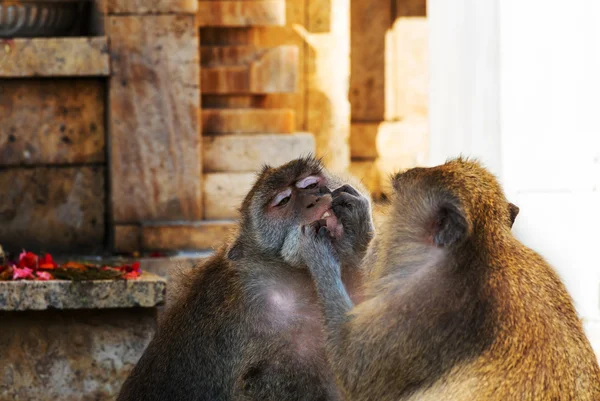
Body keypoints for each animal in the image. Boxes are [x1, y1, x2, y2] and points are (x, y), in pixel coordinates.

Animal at [116, 156, 376, 400]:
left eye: (311, 184)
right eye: (283, 201)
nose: (313, 200)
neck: (292, 274)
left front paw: (357, 226)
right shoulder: (263, 310)